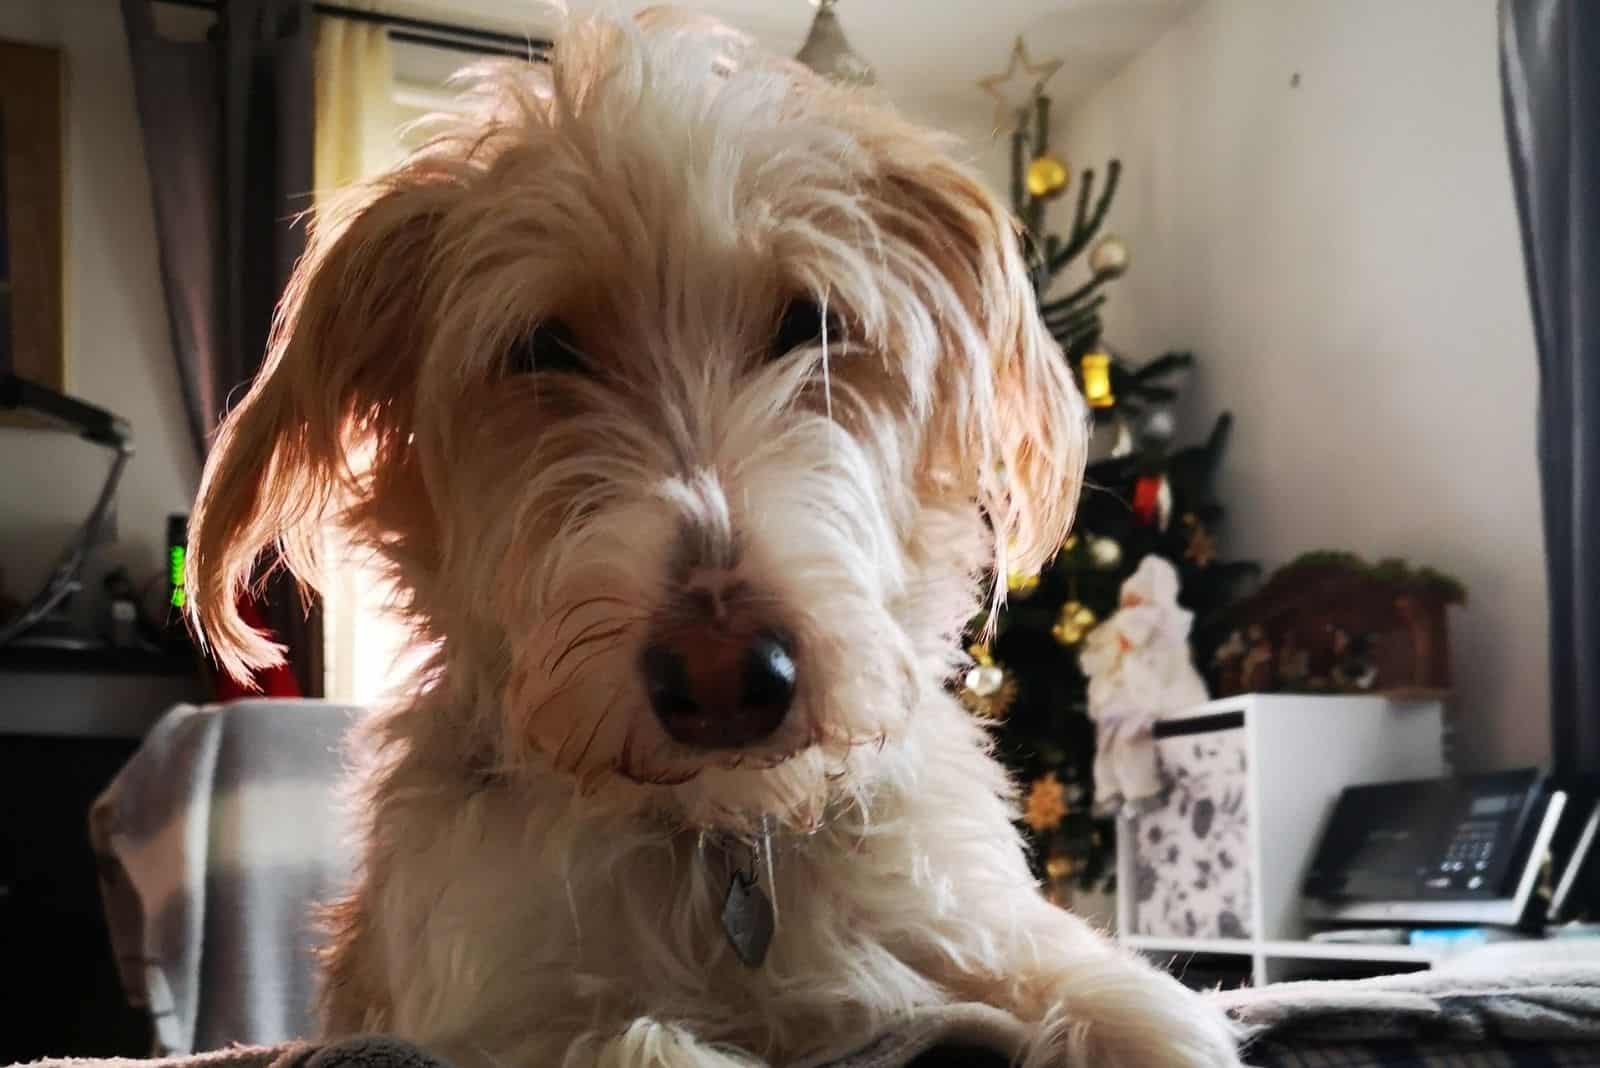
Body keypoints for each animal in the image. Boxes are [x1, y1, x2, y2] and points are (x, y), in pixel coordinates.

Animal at [184, 10, 1235, 1068]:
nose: (728, 676)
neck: (722, 836)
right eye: (543, 349)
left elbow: (1129, 1003)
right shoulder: (494, 1010)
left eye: (811, 323)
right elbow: (635, 1039)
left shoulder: (971, 924)